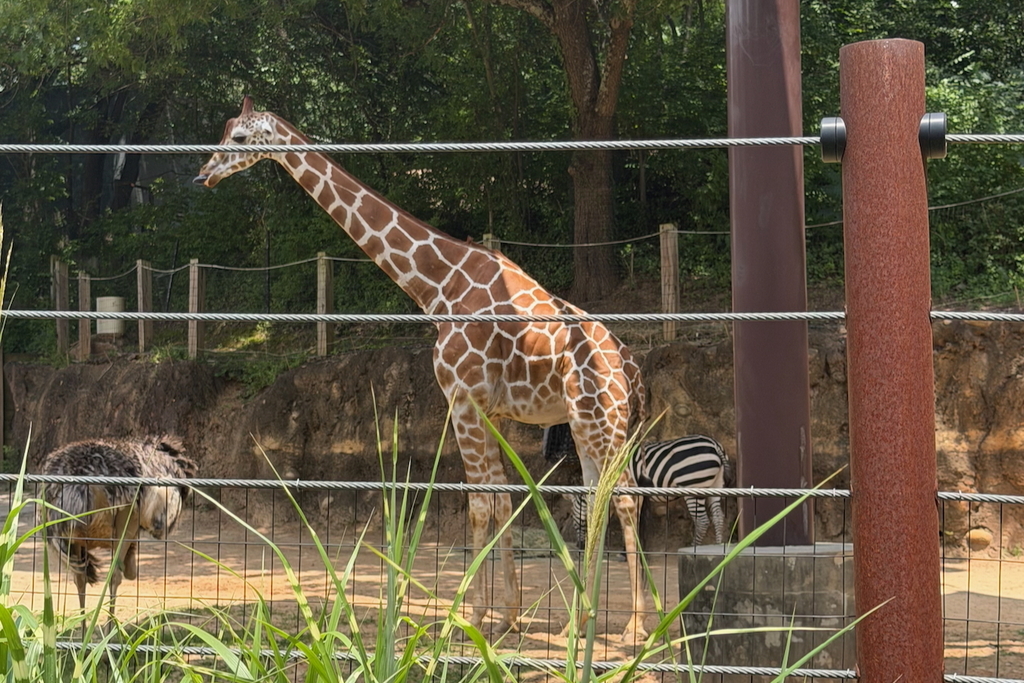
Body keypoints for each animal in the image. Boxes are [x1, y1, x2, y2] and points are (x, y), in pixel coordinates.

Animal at [194, 97, 649, 638]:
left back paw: (635, 627)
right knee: (600, 499)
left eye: (239, 139)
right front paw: (508, 614)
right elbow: (502, 500)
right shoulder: (489, 410)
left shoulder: (463, 398)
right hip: (589, 426)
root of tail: (630, 369)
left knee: (625, 499)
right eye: (223, 131)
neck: (438, 286)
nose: (204, 174)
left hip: (602, 421)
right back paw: (581, 623)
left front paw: (469, 616)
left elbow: (480, 504)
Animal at [557, 432, 734, 549]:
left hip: (693, 486)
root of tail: (715, 445)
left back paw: (694, 548)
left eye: (573, 514)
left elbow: (626, 523)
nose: (580, 546)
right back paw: (719, 547)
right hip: (715, 486)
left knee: (702, 521)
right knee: (718, 517)